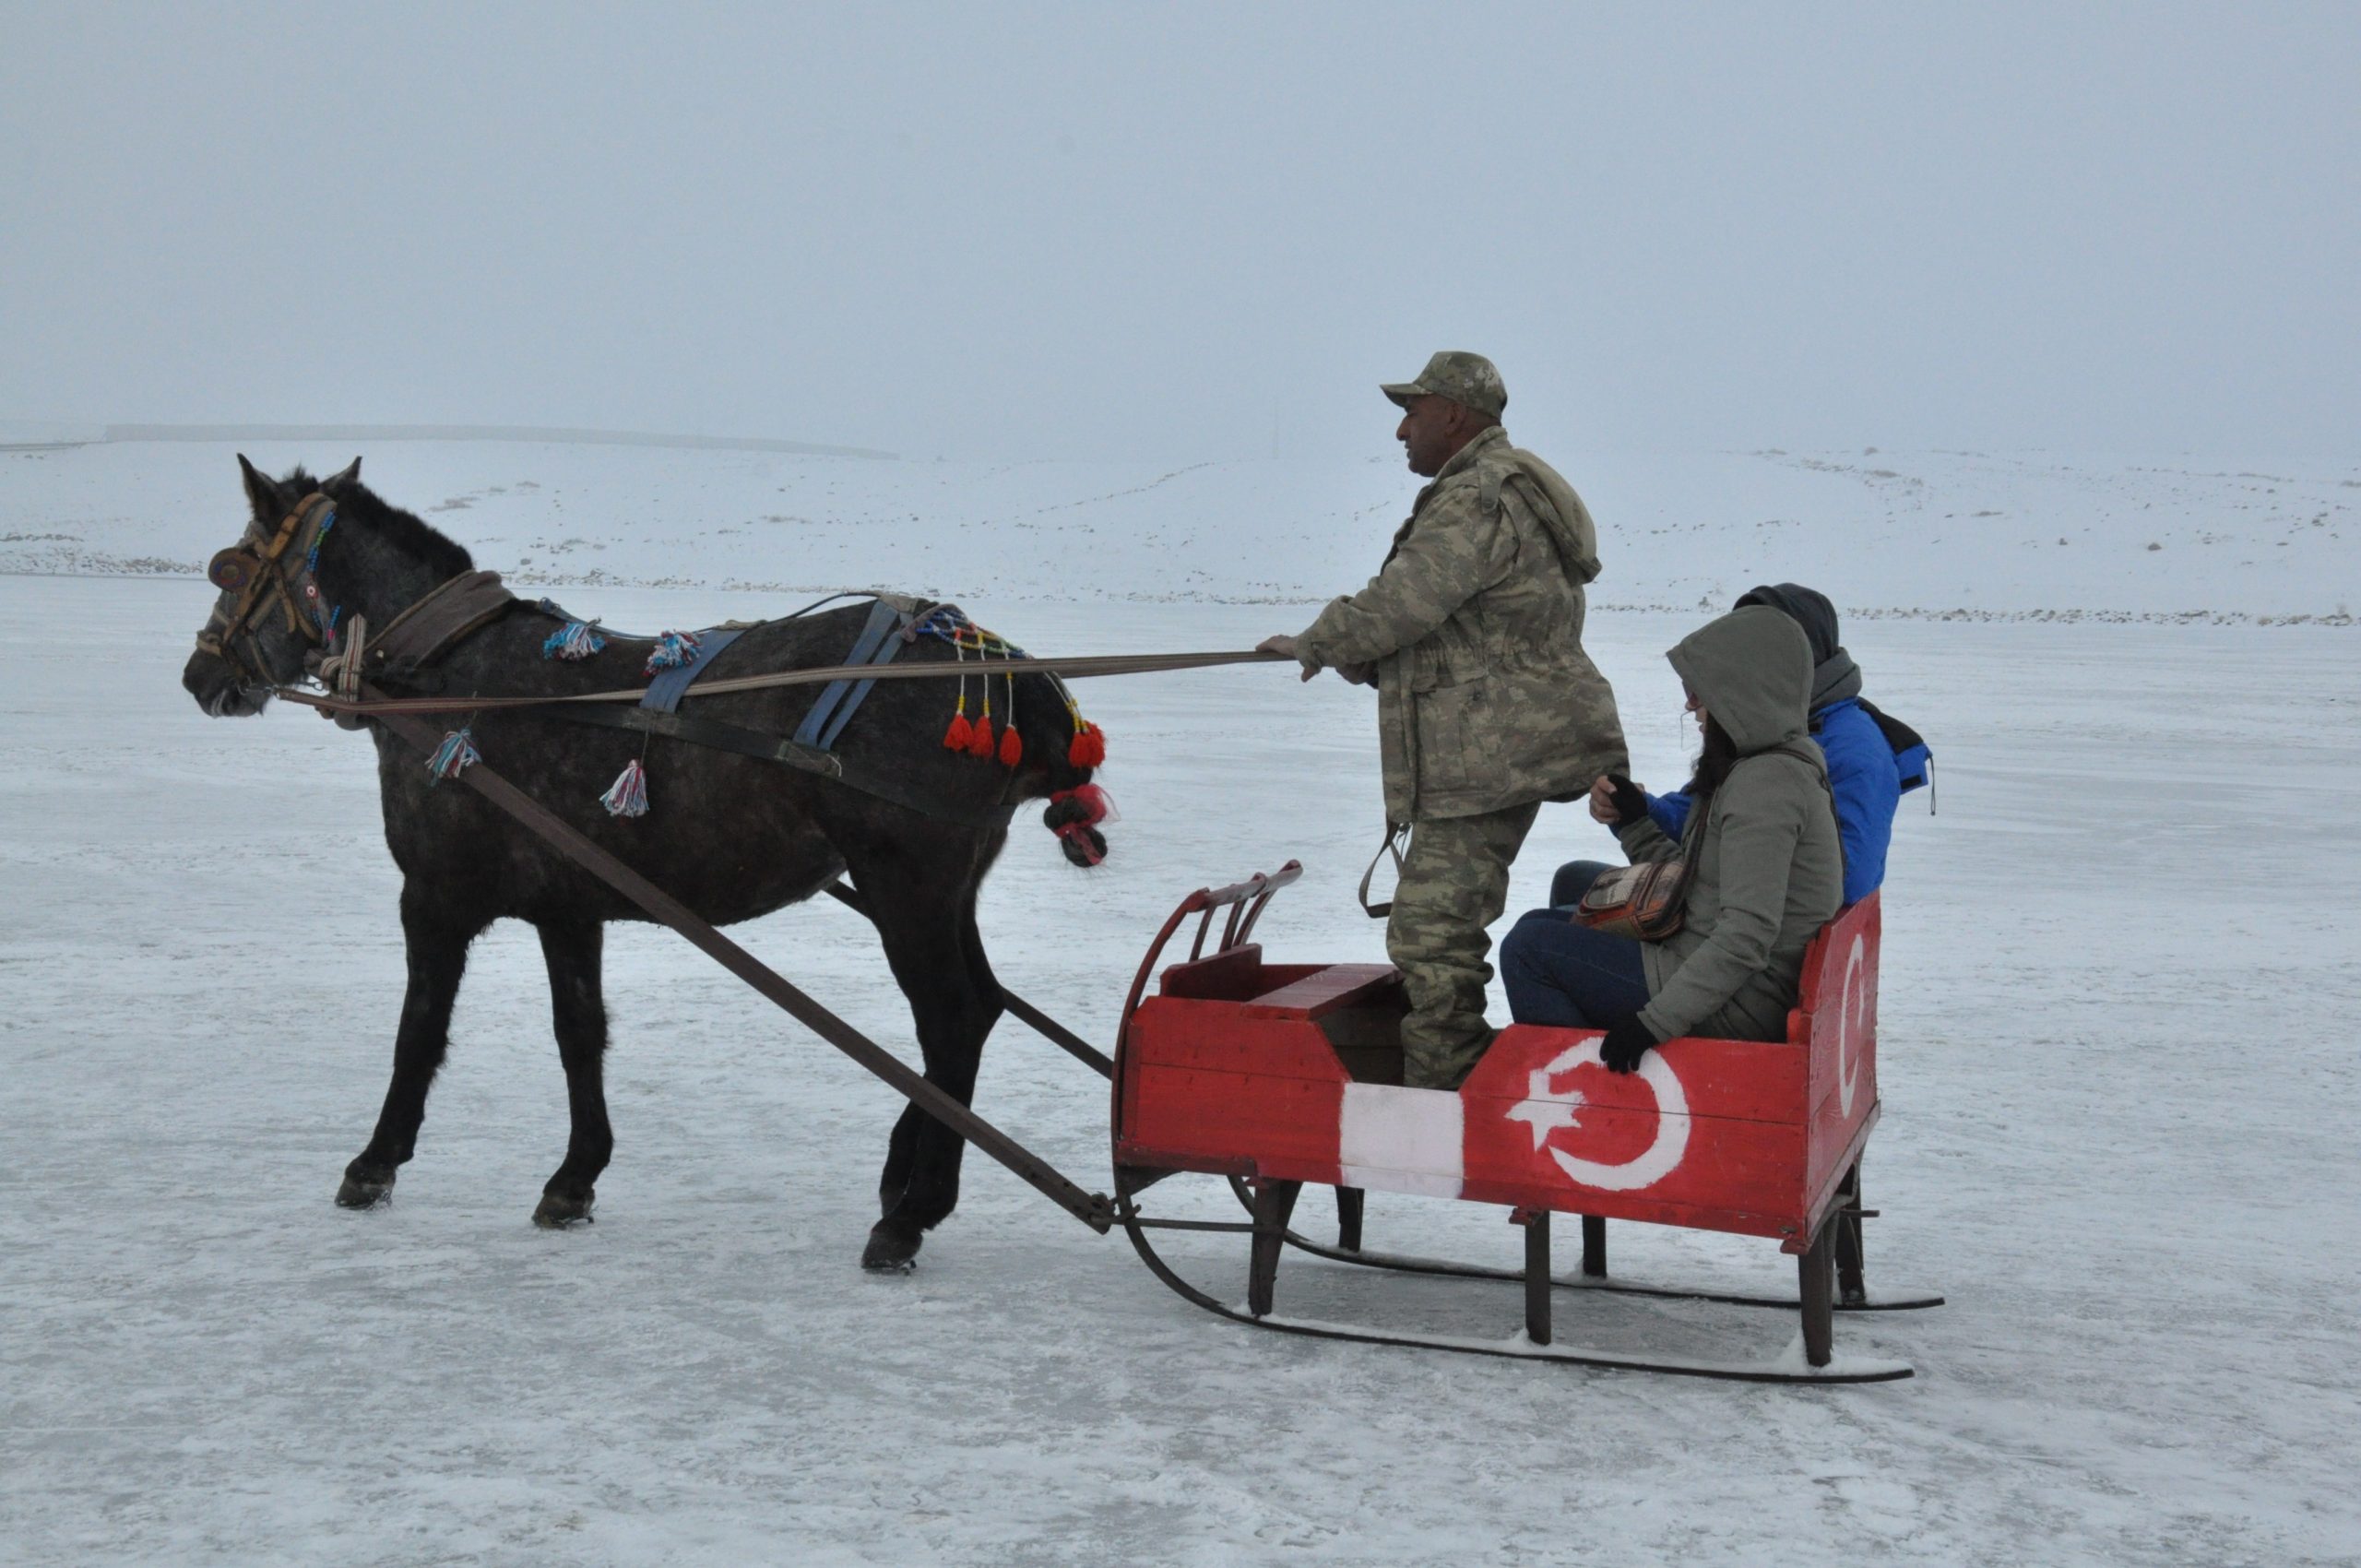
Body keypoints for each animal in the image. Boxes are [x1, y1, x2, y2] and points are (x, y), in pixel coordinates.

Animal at [180, 455, 1107, 1272]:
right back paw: (899, 1180)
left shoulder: (433, 895)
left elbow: (419, 1032)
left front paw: (374, 1163)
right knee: (979, 1011)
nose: (200, 673)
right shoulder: (568, 905)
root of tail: (1010, 678)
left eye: (233, 566)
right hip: (946, 886)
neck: (448, 679)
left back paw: (912, 1214)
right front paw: (574, 1178)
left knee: (948, 1021)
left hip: (904, 881)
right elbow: (579, 1034)